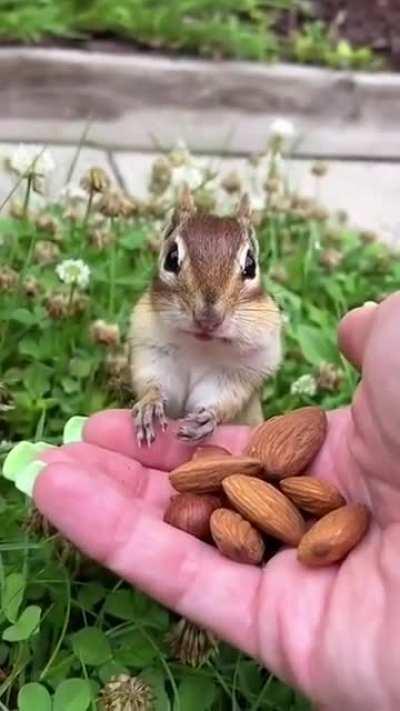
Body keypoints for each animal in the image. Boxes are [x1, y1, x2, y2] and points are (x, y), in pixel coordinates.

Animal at [129, 186, 282, 446]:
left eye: (251, 264)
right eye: (171, 258)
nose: (208, 319)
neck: (199, 347)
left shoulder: (237, 373)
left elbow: (222, 399)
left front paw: (208, 417)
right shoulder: (153, 351)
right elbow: (154, 383)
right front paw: (150, 404)